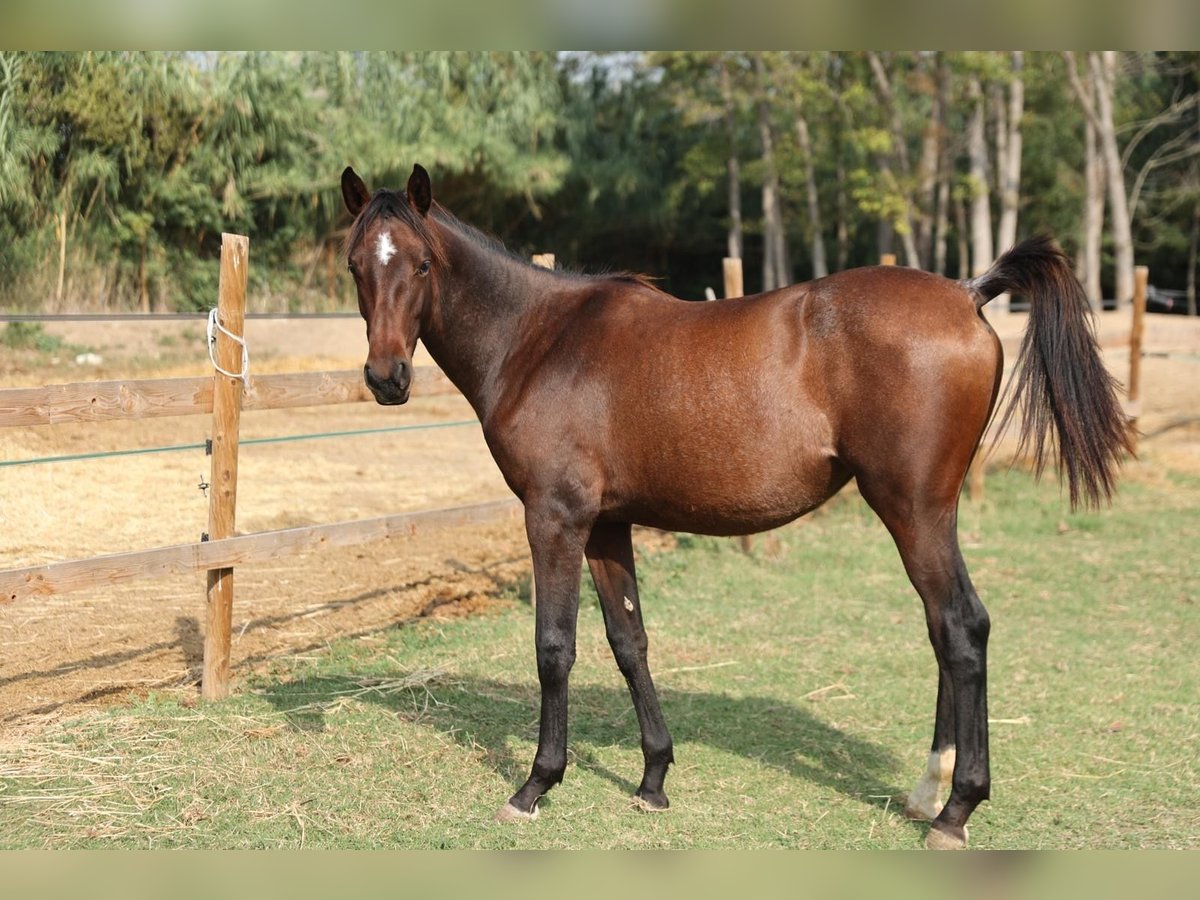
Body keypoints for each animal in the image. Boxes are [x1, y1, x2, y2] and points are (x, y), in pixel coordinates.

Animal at [339, 164, 1131, 849]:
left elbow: (554, 648)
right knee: (944, 629)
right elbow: (629, 641)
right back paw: (926, 790)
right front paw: (653, 778)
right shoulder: (608, 526)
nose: (386, 378)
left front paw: (536, 785)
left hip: (913, 509)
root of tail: (968, 292)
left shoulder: (555, 519)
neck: (539, 339)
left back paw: (956, 809)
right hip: (928, 513)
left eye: (420, 264)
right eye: (355, 266)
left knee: (962, 628)